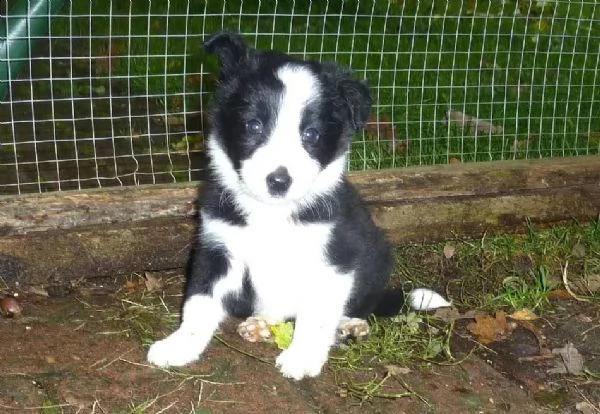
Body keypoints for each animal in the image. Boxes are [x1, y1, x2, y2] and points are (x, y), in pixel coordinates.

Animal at [145, 32, 426, 380]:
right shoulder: (217, 249)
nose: (279, 181)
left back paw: (349, 324)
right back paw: (259, 324)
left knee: (361, 304)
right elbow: (199, 302)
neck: (271, 212)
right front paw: (180, 345)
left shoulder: (335, 256)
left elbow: (317, 316)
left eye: (311, 134)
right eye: (254, 126)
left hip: (376, 257)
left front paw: (302, 356)